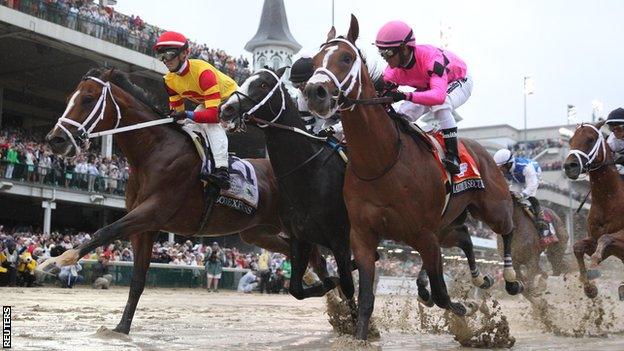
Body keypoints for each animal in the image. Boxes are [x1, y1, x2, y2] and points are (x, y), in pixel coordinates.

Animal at [40, 69, 322, 336]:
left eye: (88, 99)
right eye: (70, 98)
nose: (55, 139)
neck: (154, 152)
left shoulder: (153, 211)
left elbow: (105, 231)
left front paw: (56, 260)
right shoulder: (146, 228)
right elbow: (137, 279)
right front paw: (121, 327)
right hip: (256, 232)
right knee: (301, 252)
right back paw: (314, 280)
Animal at [219, 68, 356, 310]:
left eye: (263, 84)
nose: (227, 109)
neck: (309, 174)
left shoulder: (340, 239)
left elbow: (348, 285)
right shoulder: (300, 238)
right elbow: (296, 289)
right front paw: (329, 285)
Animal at [302, 14, 520, 340]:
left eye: (346, 57)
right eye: (315, 60)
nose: (315, 93)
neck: (380, 163)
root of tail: (485, 151)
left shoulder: (424, 234)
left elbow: (443, 294)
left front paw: (466, 309)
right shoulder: (363, 237)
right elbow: (366, 300)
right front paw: (362, 336)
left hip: (492, 209)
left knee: (506, 230)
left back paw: (509, 277)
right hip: (447, 223)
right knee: (465, 237)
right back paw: (479, 278)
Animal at [560, 122, 624, 298]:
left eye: (590, 139)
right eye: (570, 141)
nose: (570, 166)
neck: (608, 201)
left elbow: (606, 238)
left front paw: (594, 261)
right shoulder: (598, 243)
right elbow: (577, 247)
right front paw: (589, 287)